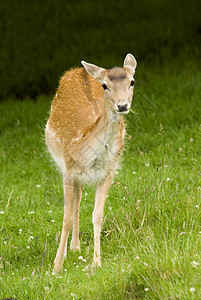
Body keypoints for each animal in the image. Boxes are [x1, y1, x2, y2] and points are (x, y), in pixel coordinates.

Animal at [45, 52, 137, 274]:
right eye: (104, 85)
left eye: (132, 81)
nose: (122, 105)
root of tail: (80, 70)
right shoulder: (68, 171)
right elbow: (66, 217)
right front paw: (56, 267)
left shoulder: (107, 172)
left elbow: (98, 215)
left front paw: (97, 262)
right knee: (75, 204)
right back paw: (70, 249)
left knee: (78, 200)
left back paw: (75, 246)